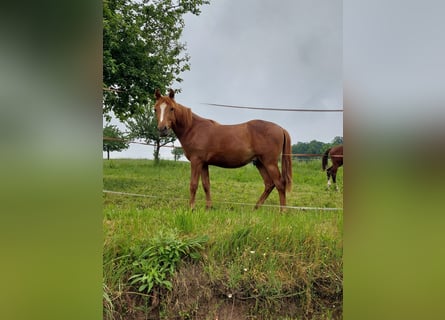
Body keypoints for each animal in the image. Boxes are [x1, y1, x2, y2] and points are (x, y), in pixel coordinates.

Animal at [153, 89, 292, 211]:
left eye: (172, 108)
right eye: (155, 109)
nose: (162, 129)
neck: (193, 128)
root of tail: (280, 128)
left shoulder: (196, 161)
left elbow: (193, 185)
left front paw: (191, 208)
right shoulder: (204, 164)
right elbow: (206, 185)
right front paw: (208, 207)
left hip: (270, 163)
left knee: (279, 184)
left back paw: (283, 211)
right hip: (259, 163)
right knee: (269, 184)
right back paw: (256, 208)